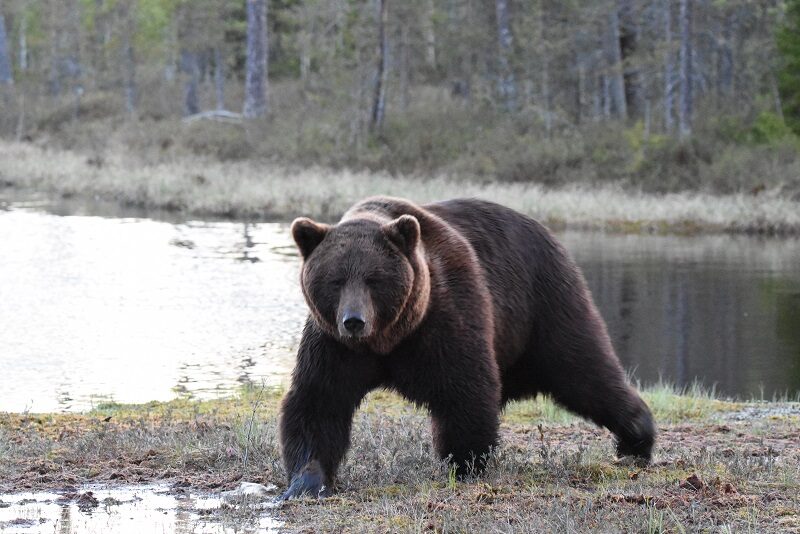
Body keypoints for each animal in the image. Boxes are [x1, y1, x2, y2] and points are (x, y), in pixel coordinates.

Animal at [278, 198, 652, 502]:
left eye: (374, 279)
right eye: (335, 280)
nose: (354, 321)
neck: (390, 338)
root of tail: (549, 233)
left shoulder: (446, 312)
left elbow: (464, 390)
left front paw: (464, 463)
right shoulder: (334, 346)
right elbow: (318, 403)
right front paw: (306, 482)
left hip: (545, 304)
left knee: (582, 369)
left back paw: (637, 437)